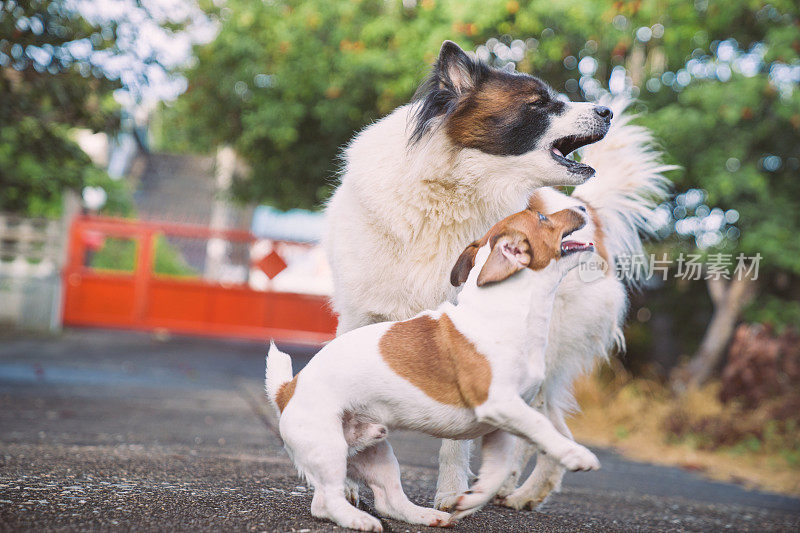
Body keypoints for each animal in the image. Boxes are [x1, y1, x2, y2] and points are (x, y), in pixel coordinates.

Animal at [268, 206, 600, 528]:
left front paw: (469, 501)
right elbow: (542, 427)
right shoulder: (500, 404)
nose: (582, 206)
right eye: (542, 217)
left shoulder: (501, 428)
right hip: (329, 450)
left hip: (376, 453)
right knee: (327, 501)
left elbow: (497, 474)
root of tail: (287, 389)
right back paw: (358, 519)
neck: (509, 309)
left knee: (388, 501)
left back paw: (426, 516)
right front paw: (576, 455)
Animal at [322, 40, 672, 508]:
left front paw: (450, 494)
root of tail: (587, 212)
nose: (607, 111)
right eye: (539, 103)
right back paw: (509, 487)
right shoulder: (360, 318)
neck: (450, 190)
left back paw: (525, 494)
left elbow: (457, 441)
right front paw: (344, 485)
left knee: (551, 427)